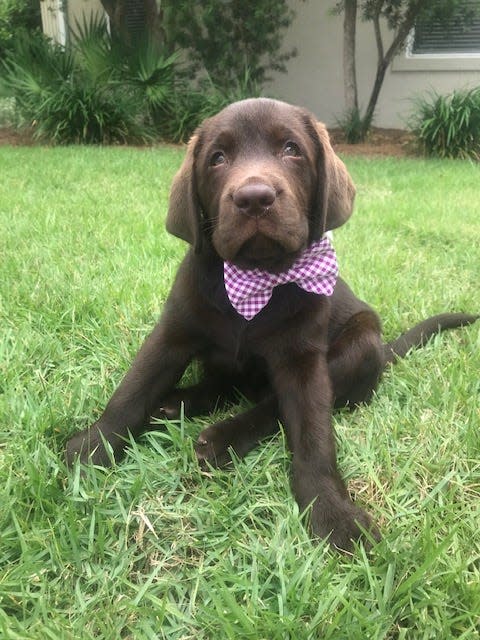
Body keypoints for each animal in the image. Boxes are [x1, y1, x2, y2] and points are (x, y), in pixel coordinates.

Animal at [65, 99, 478, 552]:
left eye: (291, 149)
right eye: (217, 158)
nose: (254, 198)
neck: (256, 279)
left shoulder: (303, 361)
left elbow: (314, 437)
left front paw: (332, 511)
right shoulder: (172, 332)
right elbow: (132, 391)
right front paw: (93, 446)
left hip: (361, 344)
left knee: (270, 405)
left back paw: (221, 438)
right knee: (225, 386)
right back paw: (176, 403)